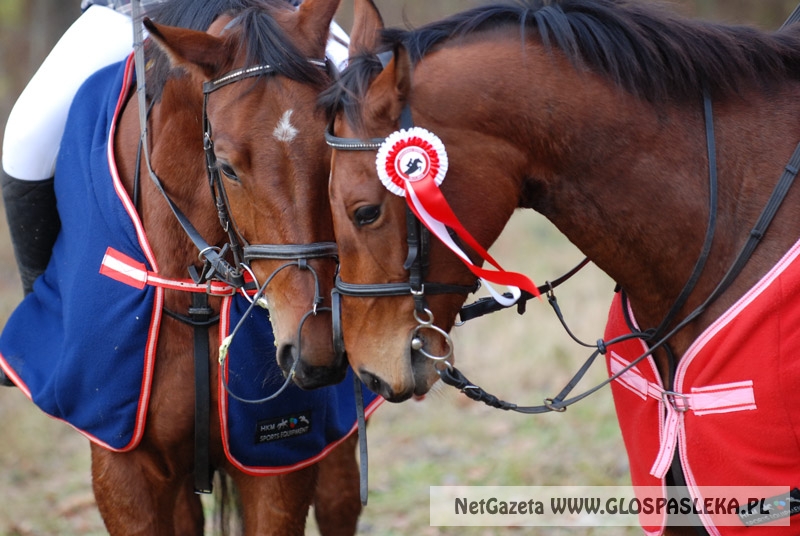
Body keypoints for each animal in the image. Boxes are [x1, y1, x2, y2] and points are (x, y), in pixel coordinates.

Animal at [0, 0, 368, 532]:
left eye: (334, 148)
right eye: (229, 166)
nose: (315, 349)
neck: (193, 295)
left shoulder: (281, 461)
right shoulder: (123, 467)